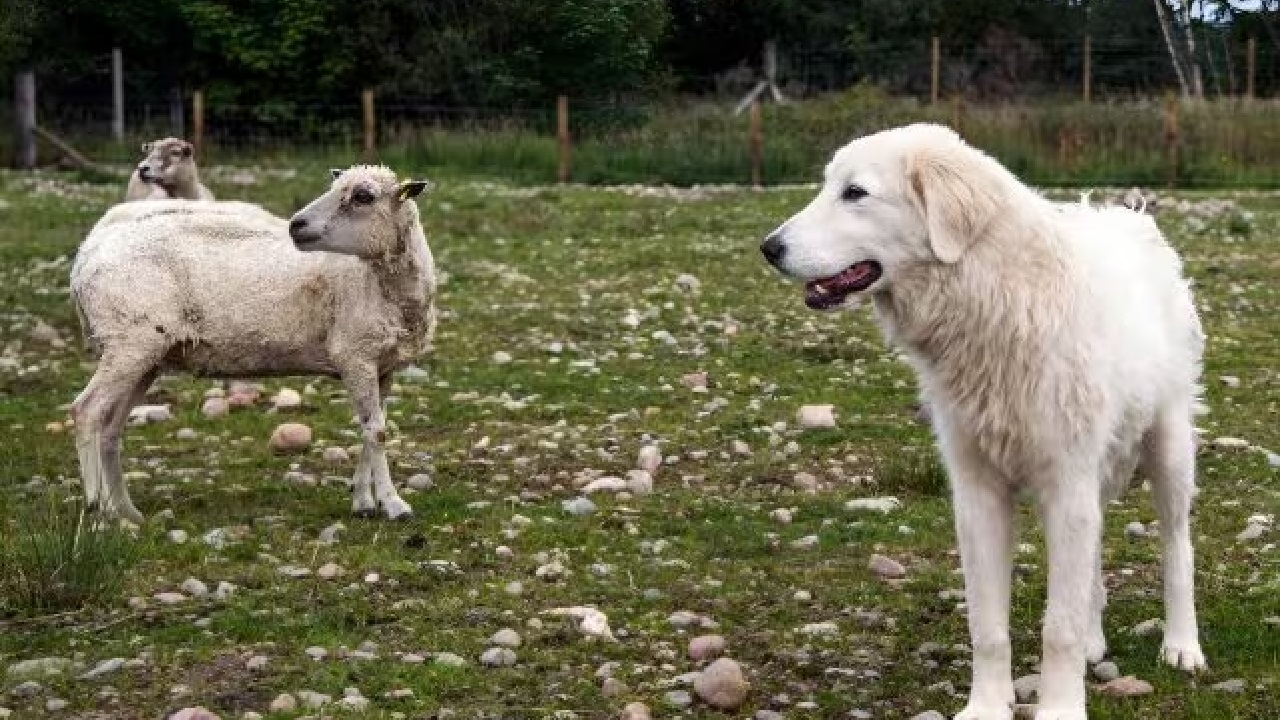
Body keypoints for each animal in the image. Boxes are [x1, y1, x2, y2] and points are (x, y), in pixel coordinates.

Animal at [73, 165, 435, 517]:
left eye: (363, 196)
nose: (296, 224)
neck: (377, 282)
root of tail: (85, 255)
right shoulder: (355, 356)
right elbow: (377, 432)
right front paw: (393, 504)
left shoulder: (382, 365)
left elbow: (370, 430)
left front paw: (363, 501)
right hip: (127, 341)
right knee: (86, 411)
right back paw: (99, 508)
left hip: (145, 355)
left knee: (111, 428)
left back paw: (126, 512)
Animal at [762, 124, 1203, 717]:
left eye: (854, 193)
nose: (769, 248)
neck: (992, 299)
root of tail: (1128, 217)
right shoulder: (979, 495)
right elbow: (989, 627)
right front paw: (986, 707)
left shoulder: (1066, 484)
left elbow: (1057, 628)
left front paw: (1059, 709)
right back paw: (1096, 640)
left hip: (1168, 450)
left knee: (1178, 548)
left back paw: (1182, 645)